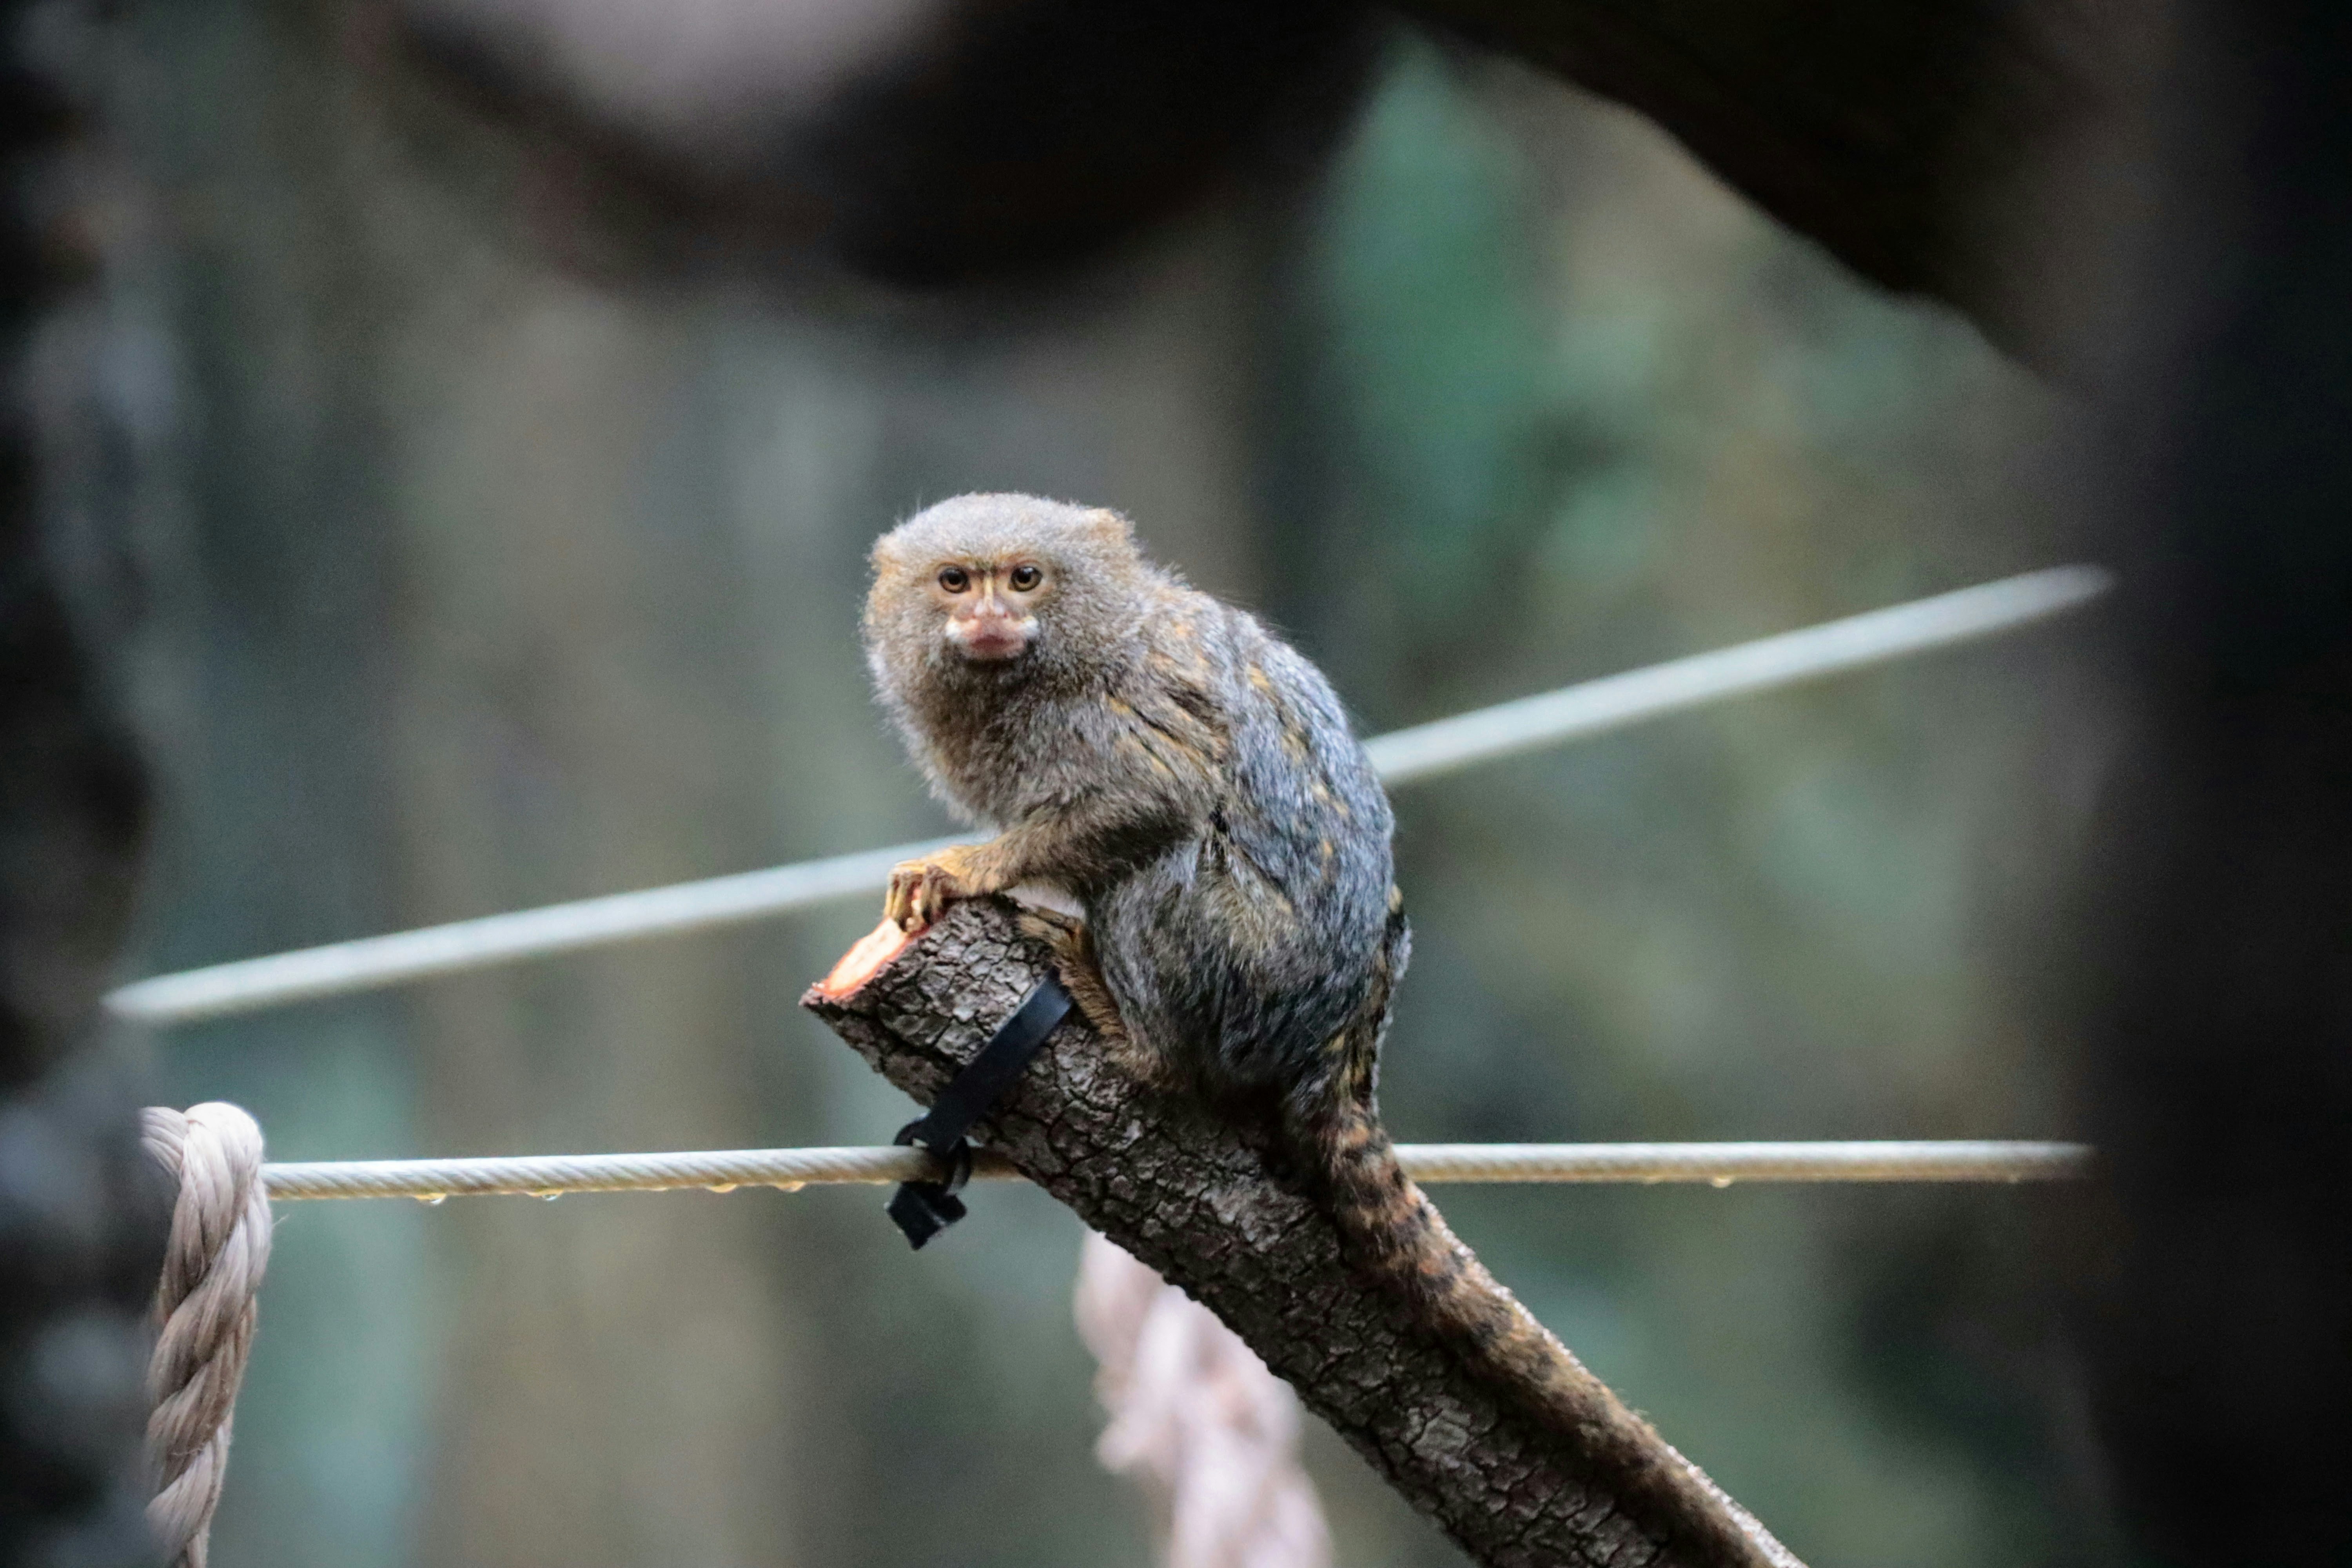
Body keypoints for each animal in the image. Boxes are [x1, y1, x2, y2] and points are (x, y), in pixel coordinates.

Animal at [859, 491, 1635, 1450]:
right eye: (956, 581)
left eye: (1026, 577)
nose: (989, 617)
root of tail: (1346, 1031)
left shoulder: (1115, 709)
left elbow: (1157, 795)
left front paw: (967, 869)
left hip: (1247, 958)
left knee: (1162, 863)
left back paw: (1126, 1024)